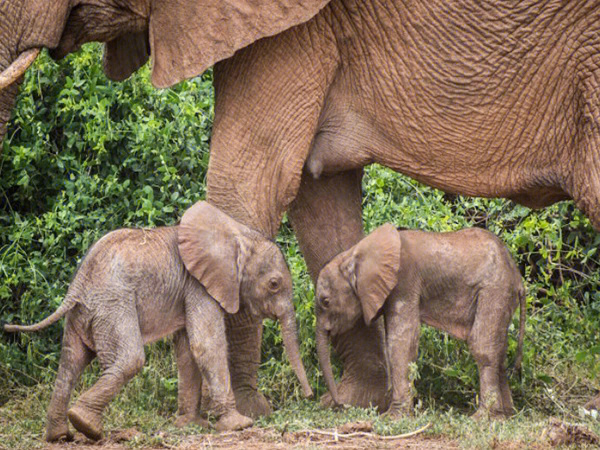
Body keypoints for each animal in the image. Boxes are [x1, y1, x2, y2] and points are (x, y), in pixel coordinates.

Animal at [4, 202, 312, 442]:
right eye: (274, 284)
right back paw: (87, 426)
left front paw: (190, 424)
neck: (236, 235)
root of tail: (77, 285)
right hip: (113, 305)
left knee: (70, 362)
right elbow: (206, 345)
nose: (309, 397)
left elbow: (187, 351)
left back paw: (60, 435)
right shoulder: (198, 285)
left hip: (84, 313)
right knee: (129, 359)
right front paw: (239, 425)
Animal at [316, 224, 524, 418]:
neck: (354, 254)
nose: (338, 404)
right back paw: (505, 415)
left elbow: (400, 342)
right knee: (500, 350)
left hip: (495, 289)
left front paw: (393, 417)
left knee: (482, 346)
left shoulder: (404, 283)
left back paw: (482, 418)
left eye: (325, 301)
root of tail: (518, 277)